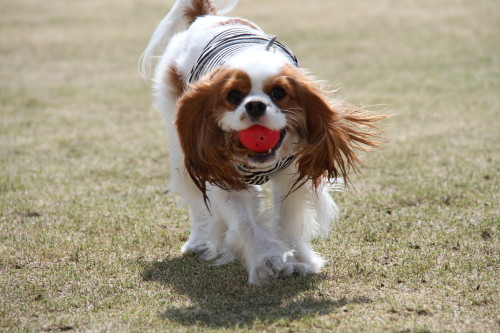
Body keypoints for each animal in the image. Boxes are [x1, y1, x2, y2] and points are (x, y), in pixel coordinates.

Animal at [139, 0, 384, 284]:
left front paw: (298, 260)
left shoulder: (290, 174)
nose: (255, 105)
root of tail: (204, 17)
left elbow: (287, 218)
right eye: (233, 96)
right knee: (196, 202)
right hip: (181, 145)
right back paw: (198, 242)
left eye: (278, 93)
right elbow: (244, 220)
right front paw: (265, 259)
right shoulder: (223, 175)